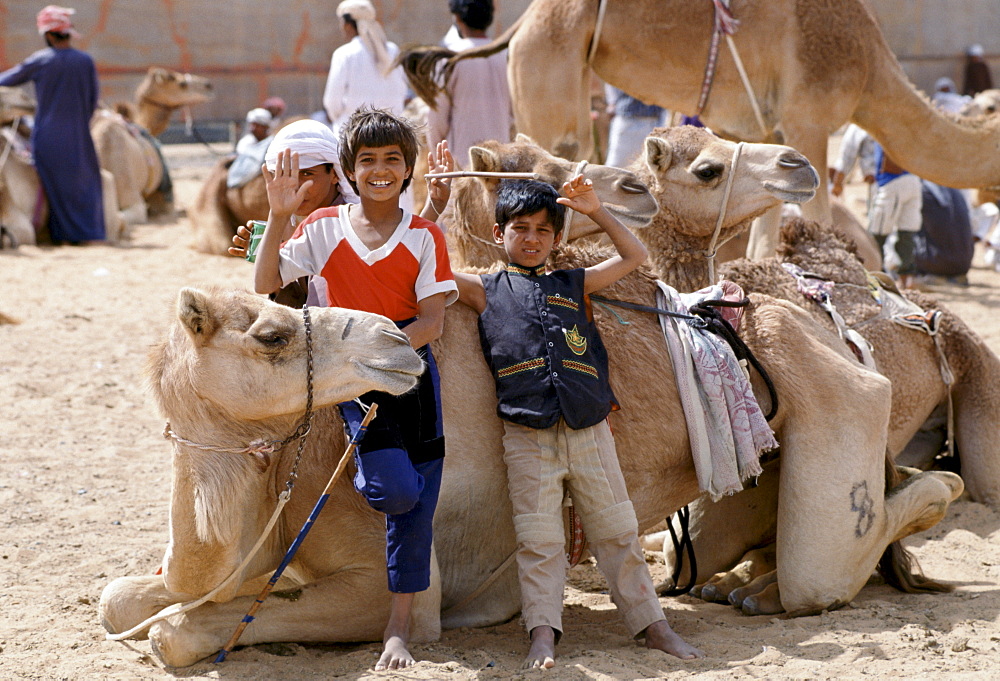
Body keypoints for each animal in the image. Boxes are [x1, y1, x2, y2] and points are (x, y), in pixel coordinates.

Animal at [402, 0, 1000, 258]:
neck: (871, 68)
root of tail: (521, 22)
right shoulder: (808, 115)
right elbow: (814, 215)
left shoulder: (765, 130)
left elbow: (768, 225)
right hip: (550, 65)